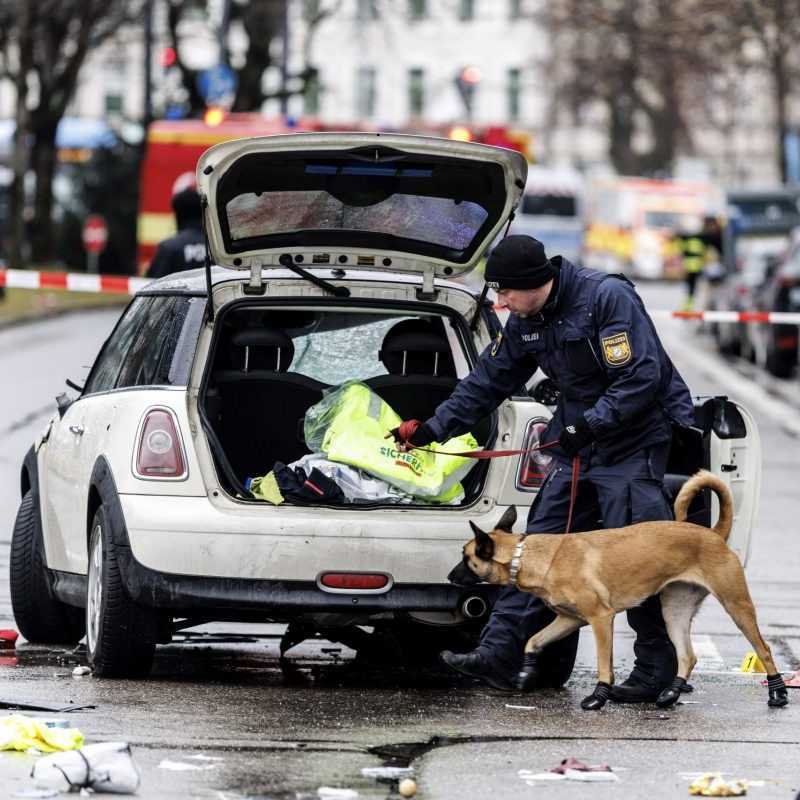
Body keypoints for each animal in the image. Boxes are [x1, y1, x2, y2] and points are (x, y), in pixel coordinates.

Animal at [446, 468, 792, 712]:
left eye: (465, 558)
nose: (449, 577)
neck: (529, 555)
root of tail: (713, 534)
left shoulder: (601, 619)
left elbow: (604, 664)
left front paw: (598, 697)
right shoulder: (569, 620)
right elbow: (533, 640)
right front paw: (525, 673)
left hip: (737, 606)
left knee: (764, 648)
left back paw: (778, 692)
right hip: (674, 612)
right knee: (688, 656)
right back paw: (671, 692)